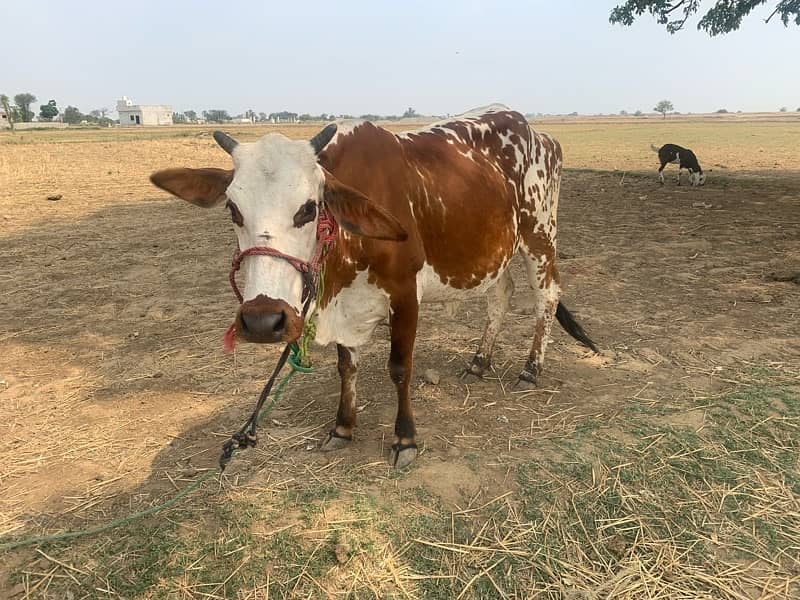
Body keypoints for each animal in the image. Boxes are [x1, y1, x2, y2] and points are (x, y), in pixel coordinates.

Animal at [153, 104, 596, 468]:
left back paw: (531, 368)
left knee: (547, 298)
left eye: (309, 208)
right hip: (495, 251)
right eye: (233, 209)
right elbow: (346, 366)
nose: (262, 321)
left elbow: (399, 369)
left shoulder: (405, 294)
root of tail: (538, 133)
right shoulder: (347, 304)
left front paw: (405, 439)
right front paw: (342, 427)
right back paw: (479, 362)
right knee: (501, 296)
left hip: (539, 237)